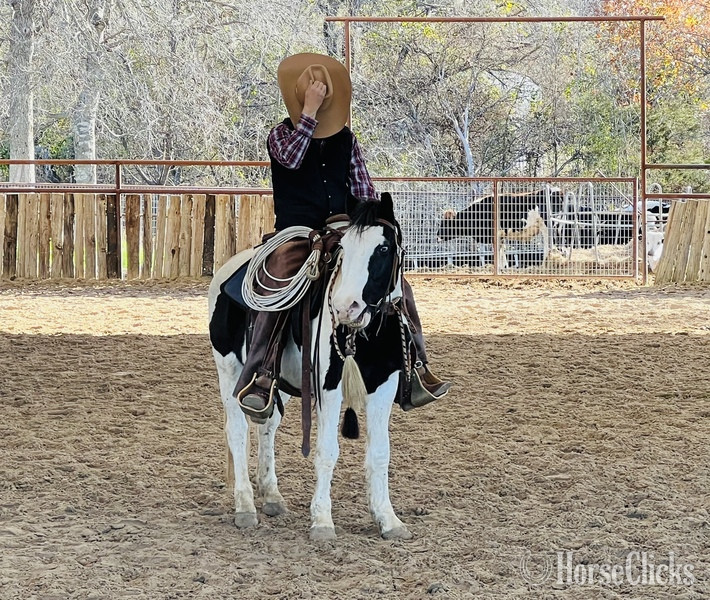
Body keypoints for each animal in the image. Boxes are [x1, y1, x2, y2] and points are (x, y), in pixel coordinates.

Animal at [207, 193, 413, 541]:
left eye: (383, 248)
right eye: (344, 248)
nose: (345, 308)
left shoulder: (384, 385)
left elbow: (380, 453)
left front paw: (388, 519)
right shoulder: (328, 387)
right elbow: (327, 450)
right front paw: (322, 521)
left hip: (280, 384)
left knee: (267, 424)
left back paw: (271, 496)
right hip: (229, 369)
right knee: (237, 430)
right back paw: (245, 505)